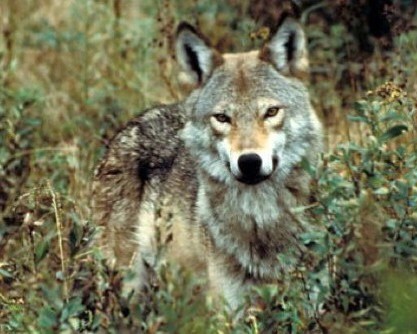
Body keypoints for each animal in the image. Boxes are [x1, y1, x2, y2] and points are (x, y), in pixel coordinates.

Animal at [92, 16, 324, 310]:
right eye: (222, 118)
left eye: (271, 112)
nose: (249, 161)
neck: (261, 221)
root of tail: (127, 128)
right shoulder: (228, 307)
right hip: (128, 286)